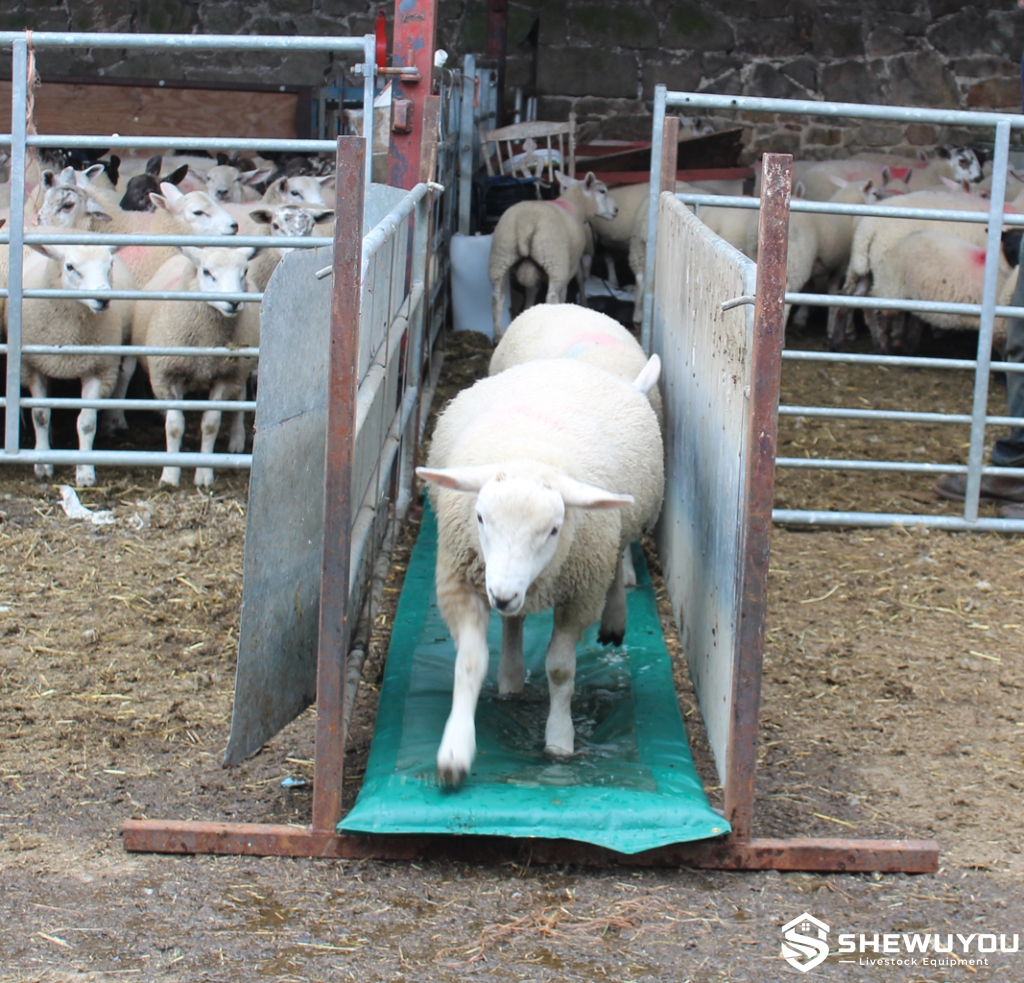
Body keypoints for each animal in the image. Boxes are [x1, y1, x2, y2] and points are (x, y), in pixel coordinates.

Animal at [16, 239, 125, 487]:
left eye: (110, 264)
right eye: (70, 267)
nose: (103, 299)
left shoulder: (98, 368)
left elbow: (86, 422)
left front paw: (85, 471)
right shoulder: (35, 366)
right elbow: (40, 415)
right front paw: (43, 462)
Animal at [416, 357, 664, 785]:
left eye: (553, 529)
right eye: (479, 517)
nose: (501, 596)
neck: (528, 452)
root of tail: (563, 361)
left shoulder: (580, 594)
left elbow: (561, 671)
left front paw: (559, 740)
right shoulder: (463, 582)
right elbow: (469, 663)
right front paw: (455, 750)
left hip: (617, 529)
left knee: (617, 562)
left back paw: (614, 618)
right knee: (514, 624)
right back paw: (511, 677)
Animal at [487, 171, 618, 340]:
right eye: (602, 191)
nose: (616, 210)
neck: (576, 206)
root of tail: (525, 220)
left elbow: (531, 291)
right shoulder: (572, 263)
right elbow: (578, 281)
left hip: (500, 257)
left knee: (497, 298)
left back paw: (498, 336)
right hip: (555, 261)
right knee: (552, 296)